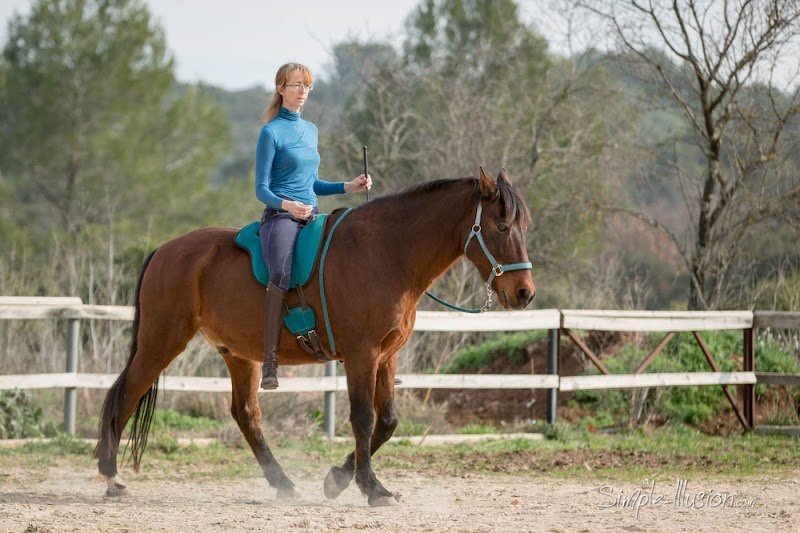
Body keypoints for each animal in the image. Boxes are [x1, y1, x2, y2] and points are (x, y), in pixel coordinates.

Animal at [94, 168, 536, 506]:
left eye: (523, 227)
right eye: (500, 226)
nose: (524, 293)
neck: (388, 254)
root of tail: (164, 250)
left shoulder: (386, 357)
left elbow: (387, 422)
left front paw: (337, 479)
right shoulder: (361, 356)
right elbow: (363, 418)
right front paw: (371, 488)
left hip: (238, 354)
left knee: (245, 414)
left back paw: (283, 483)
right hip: (161, 343)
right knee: (125, 394)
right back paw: (111, 476)